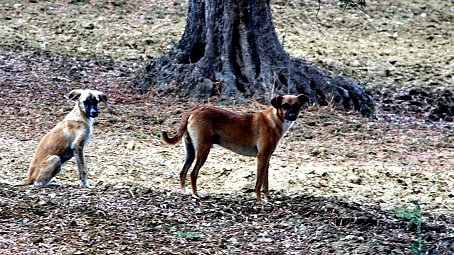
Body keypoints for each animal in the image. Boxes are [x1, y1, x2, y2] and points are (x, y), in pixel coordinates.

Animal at [161, 94, 310, 200]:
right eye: (285, 105)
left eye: (297, 105)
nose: (292, 115)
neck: (273, 120)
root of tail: (194, 109)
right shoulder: (261, 157)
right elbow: (258, 182)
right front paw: (259, 199)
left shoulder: (267, 159)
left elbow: (265, 182)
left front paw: (268, 197)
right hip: (203, 150)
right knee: (193, 173)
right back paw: (196, 194)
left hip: (190, 151)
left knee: (183, 172)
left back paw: (184, 192)